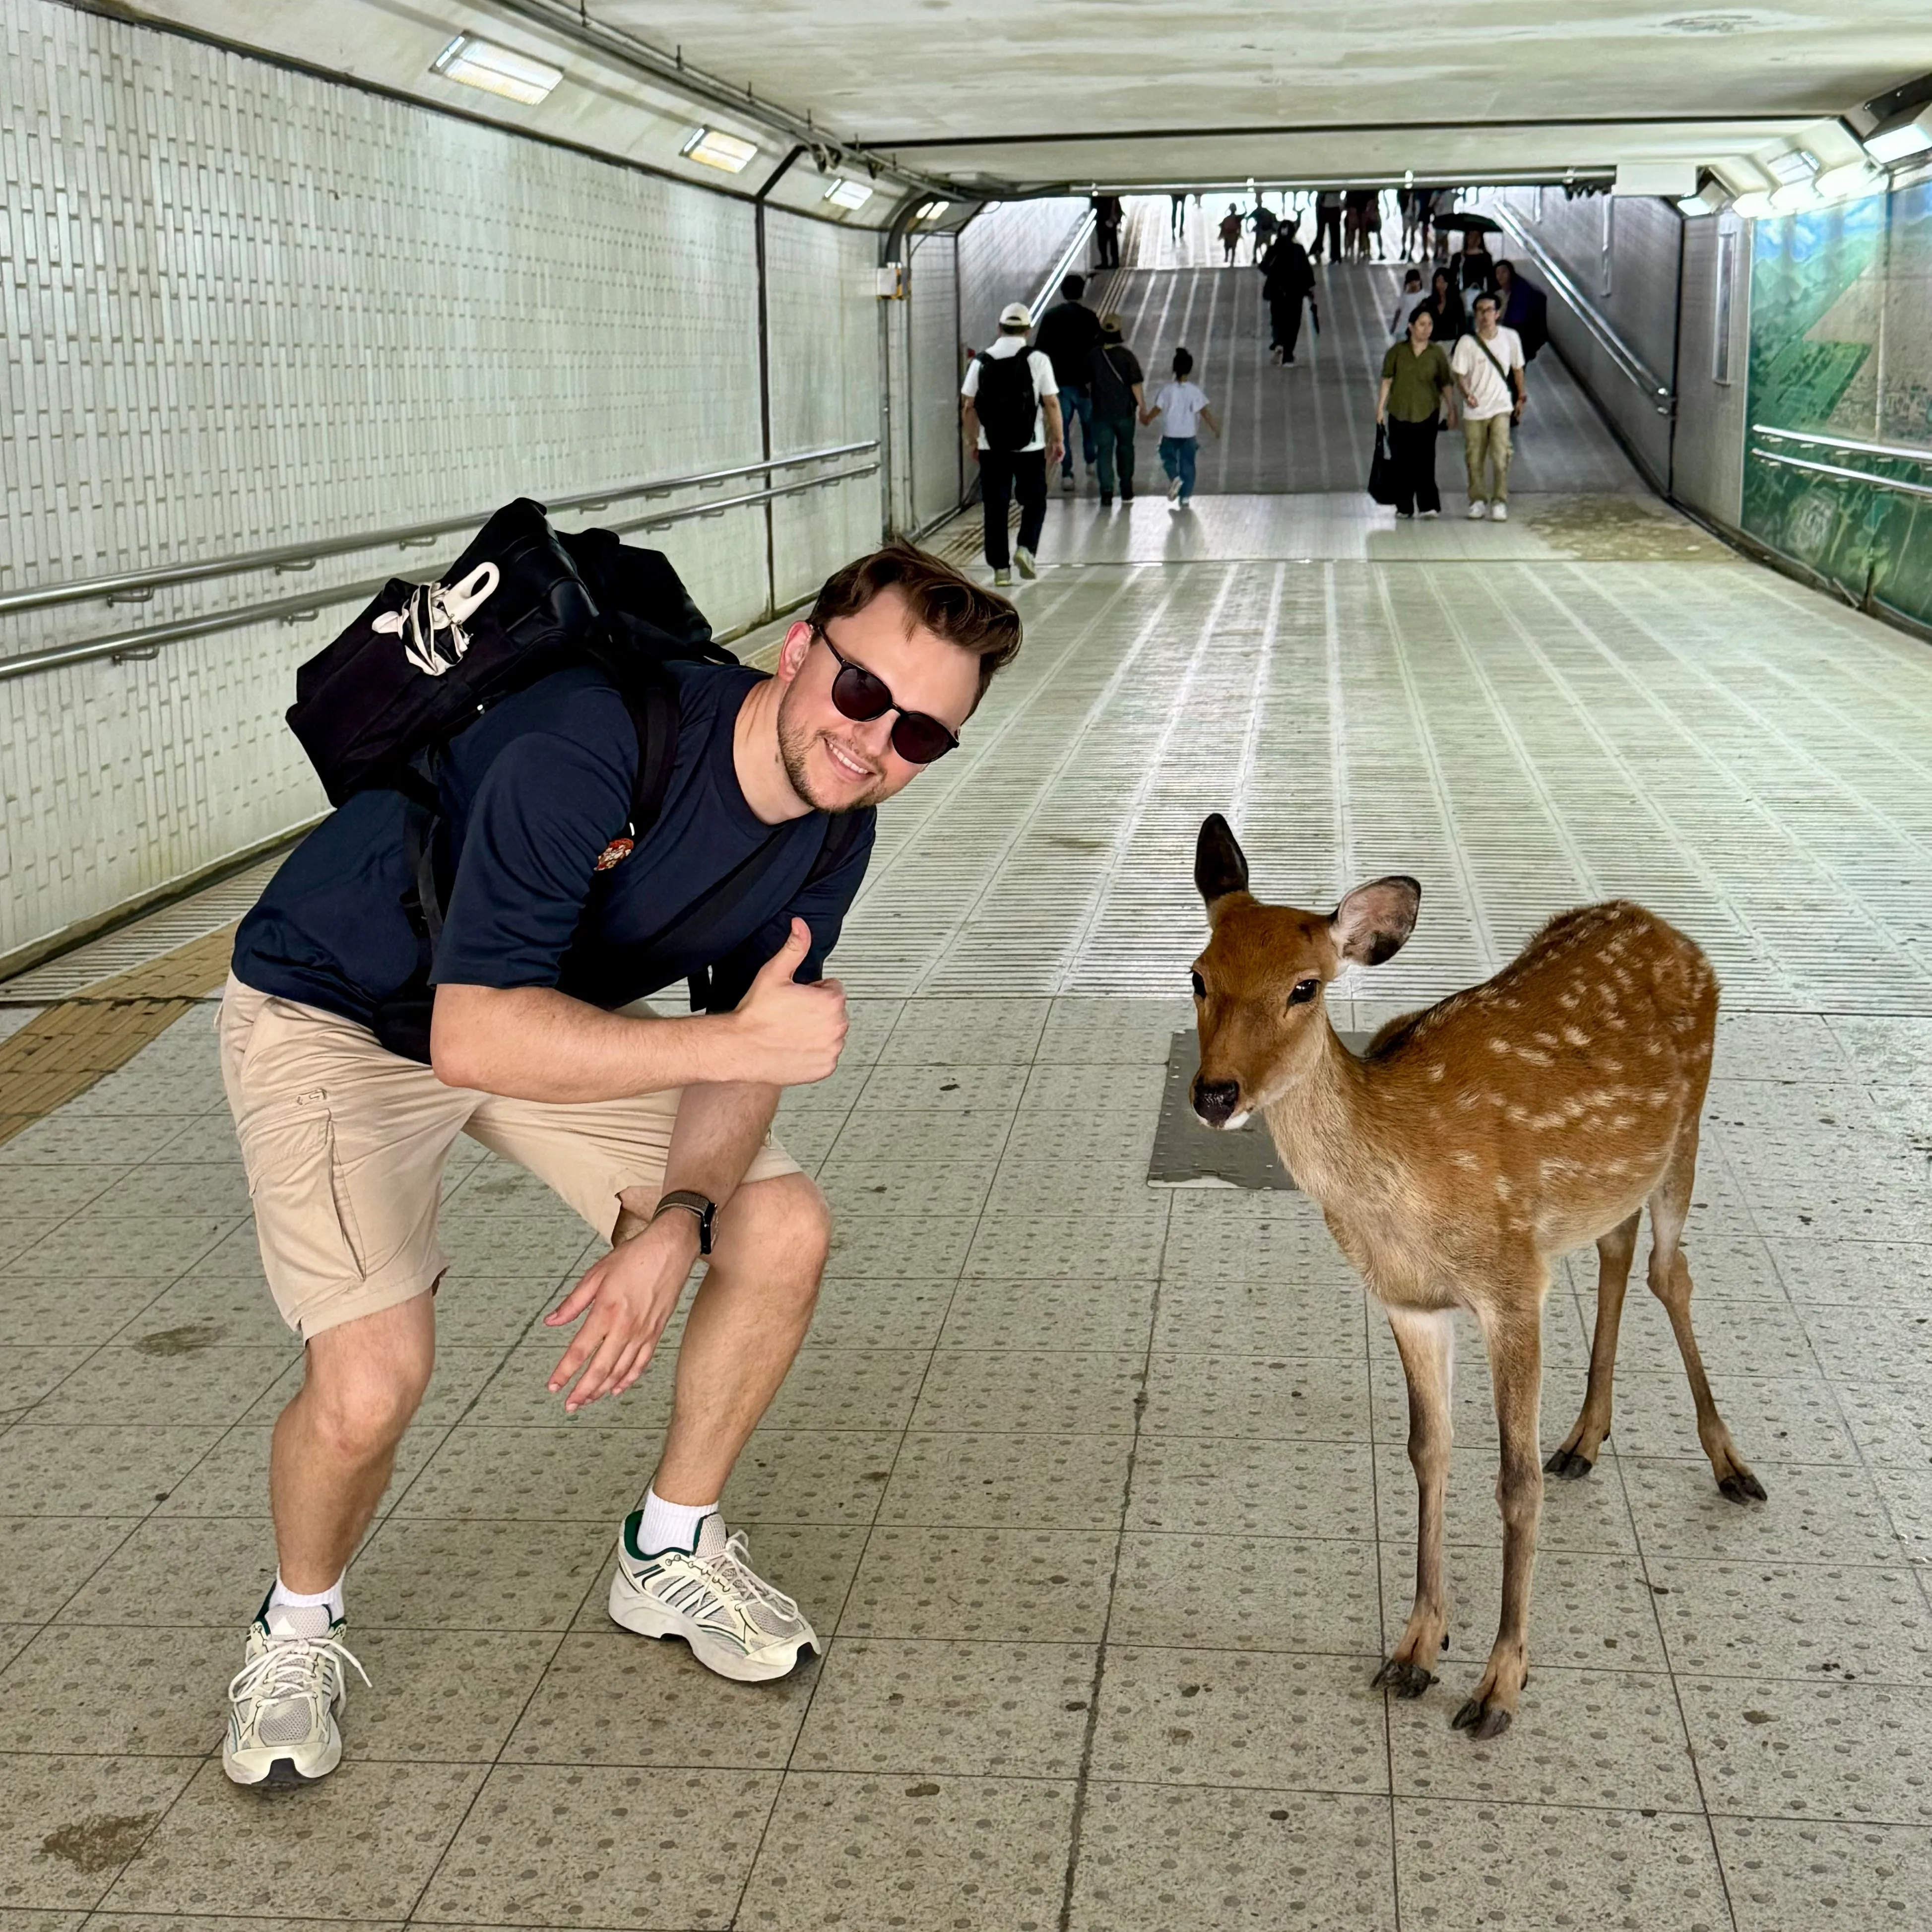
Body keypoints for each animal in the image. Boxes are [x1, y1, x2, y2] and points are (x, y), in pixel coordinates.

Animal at [1187, 813, 1765, 1739]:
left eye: (1304, 987)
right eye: (1198, 973)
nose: (1214, 1093)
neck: (1407, 1179)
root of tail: (1663, 926)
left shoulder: (1510, 1283)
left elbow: (1512, 1480)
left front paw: (1498, 1685)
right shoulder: (1409, 1301)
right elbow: (1428, 1450)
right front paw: (1415, 1648)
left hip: (1686, 1132)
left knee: (1667, 1270)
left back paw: (1729, 1464)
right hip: (1605, 1189)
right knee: (1615, 1252)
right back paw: (1583, 1438)